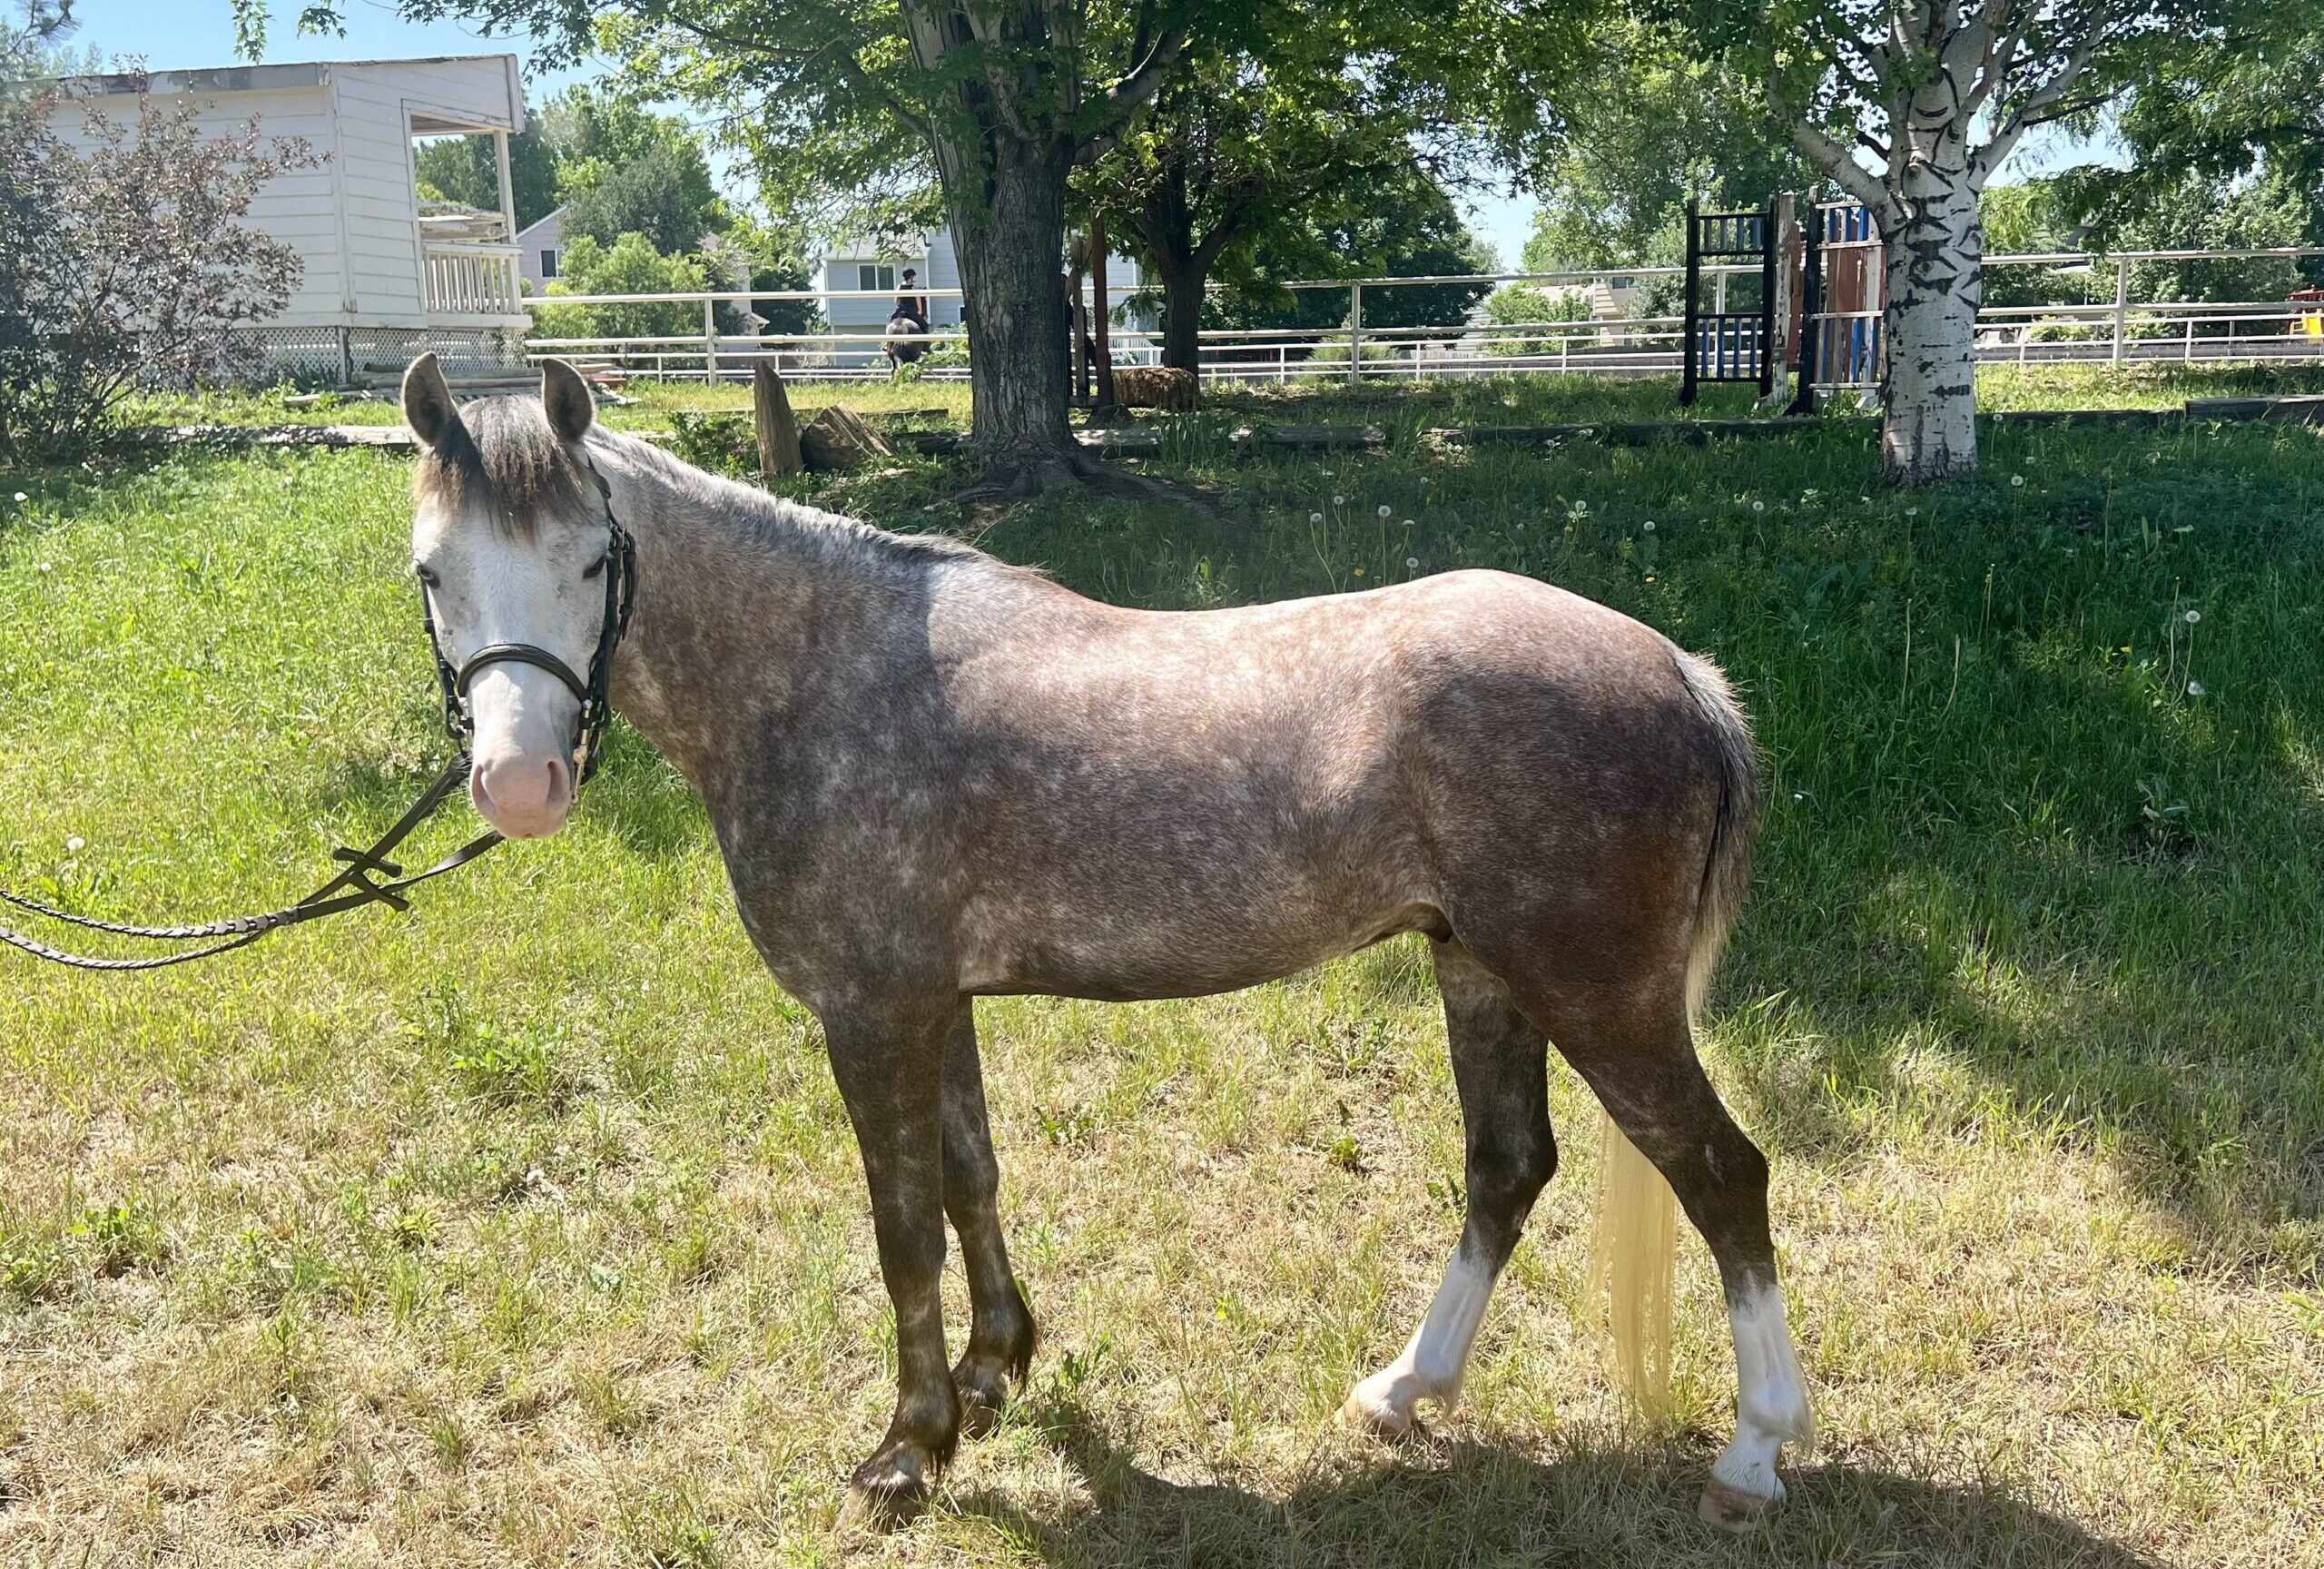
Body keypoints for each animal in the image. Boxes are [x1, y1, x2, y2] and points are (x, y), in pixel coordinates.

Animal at [398, 355, 1816, 1530]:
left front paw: (907, 1450)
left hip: (1600, 999)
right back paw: (1403, 1390)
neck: (821, 679)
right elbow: (971, 1181)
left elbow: (903, 1230)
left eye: (595, 559)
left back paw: (1755, 1454)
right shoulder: (938, 1002)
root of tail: (1679, 672)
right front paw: (992, 1377)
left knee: (1722, 1178)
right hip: (1481, 972)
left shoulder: (870, 1011)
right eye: (430, 572)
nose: (519, 785)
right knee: (1506, 1172)